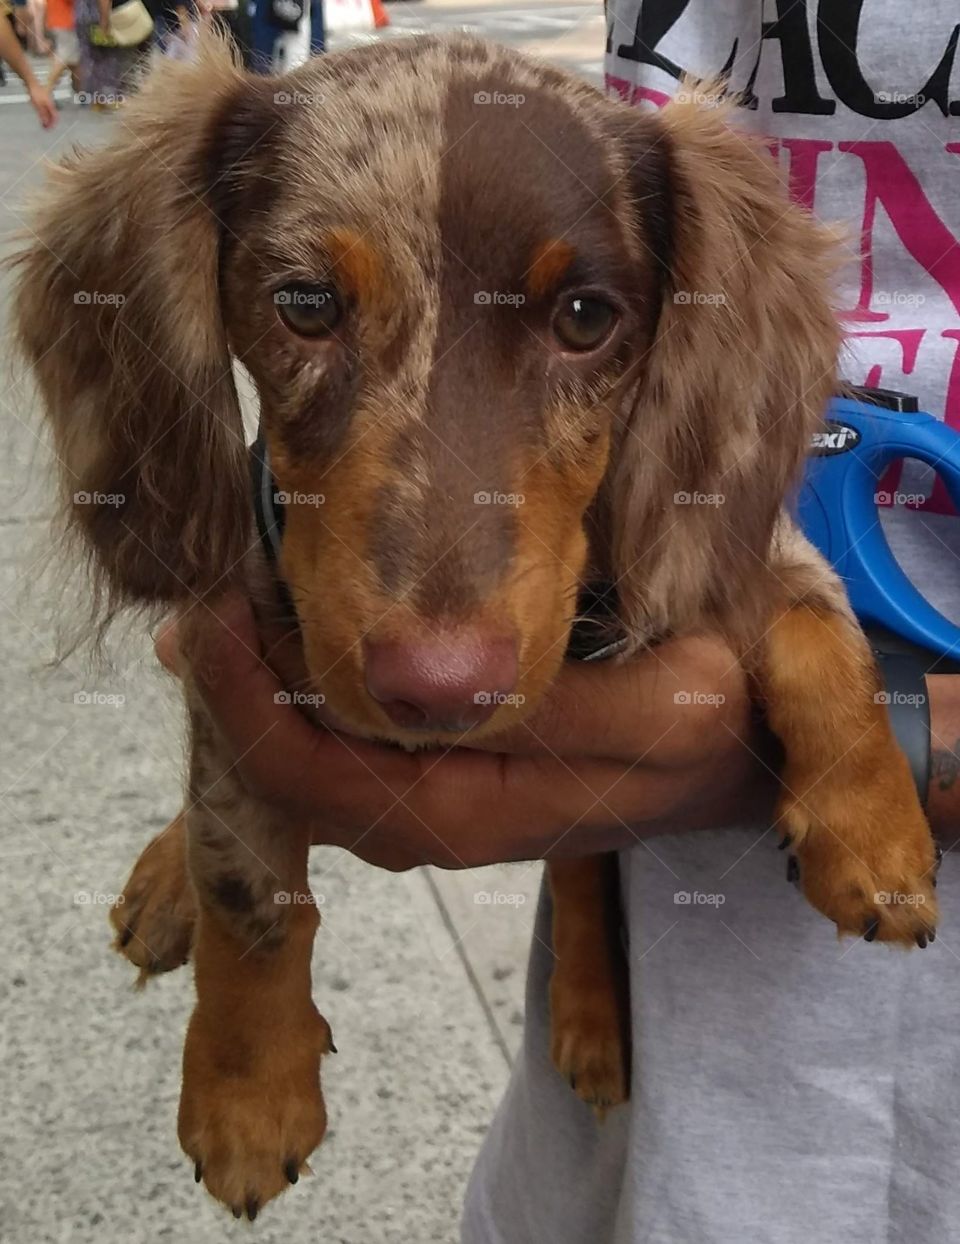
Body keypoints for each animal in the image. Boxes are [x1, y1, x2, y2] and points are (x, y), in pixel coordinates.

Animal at [13, 34, 935, 1219]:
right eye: (305, 303)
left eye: (586, 318)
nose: (440, 686)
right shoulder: (235, 668)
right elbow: (246, 886)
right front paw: (247, 1090)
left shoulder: (720, 558)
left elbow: (821, 622)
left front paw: (875, 831)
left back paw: (591, 1012)